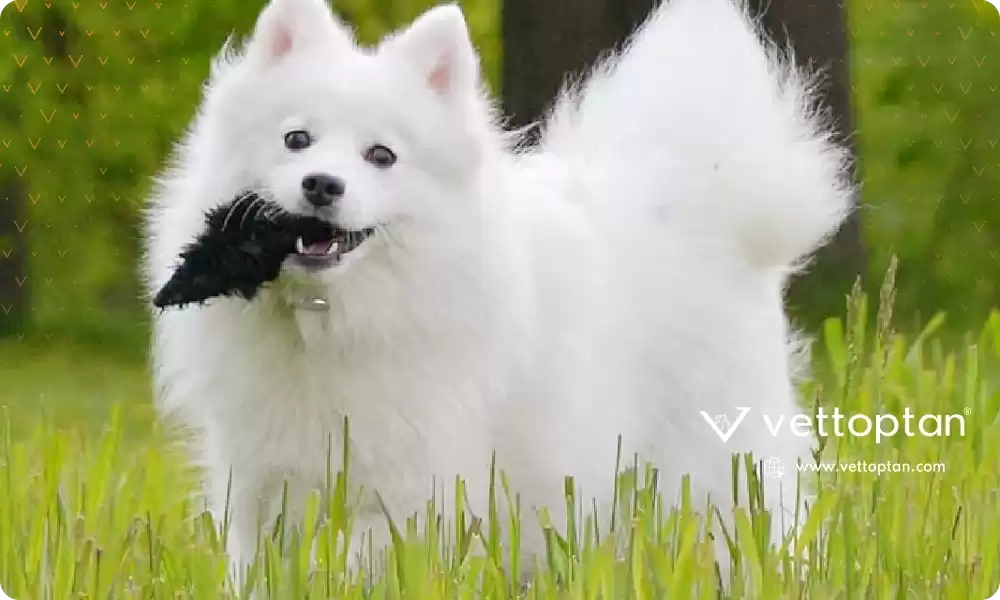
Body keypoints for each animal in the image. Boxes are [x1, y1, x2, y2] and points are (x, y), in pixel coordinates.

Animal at [145, 0, 852, 580]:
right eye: (297, 140)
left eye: (382, 156)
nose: (321, 184)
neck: (330, 321)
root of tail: (705, 208)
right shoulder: (261, 480)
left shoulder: (406, 484)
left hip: (711, 468)